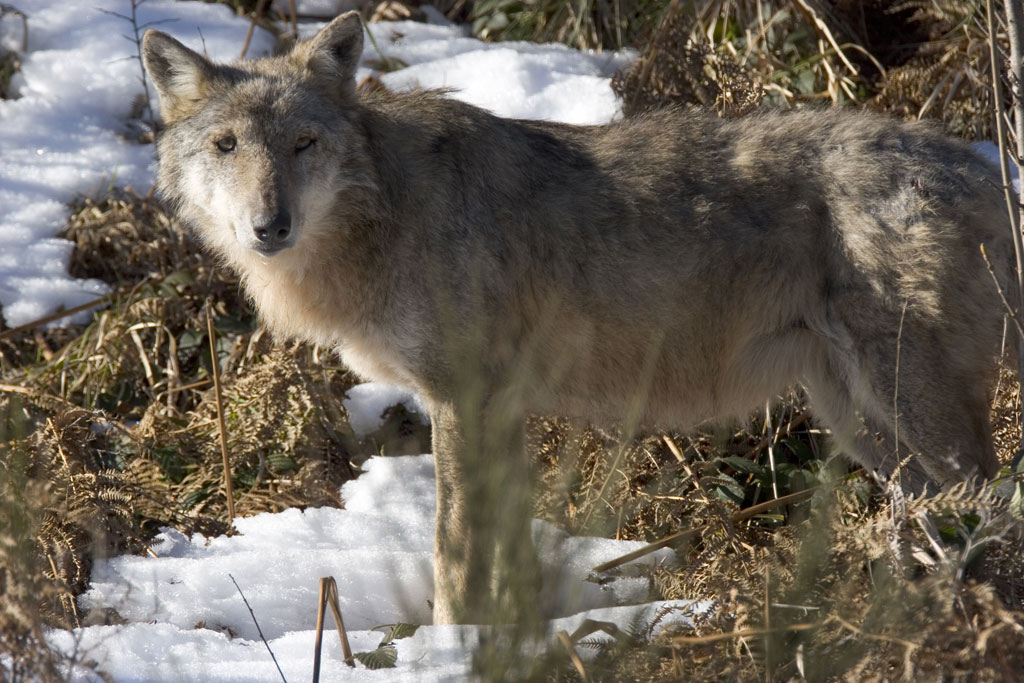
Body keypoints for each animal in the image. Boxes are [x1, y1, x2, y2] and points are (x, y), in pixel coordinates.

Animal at [142, 13, 1013, 624]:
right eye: (226, 145)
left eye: (303, 143)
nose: (270, 225)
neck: (385, 213)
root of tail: (982, 169)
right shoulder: (498, 410)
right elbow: (501, 548)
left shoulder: (461, 401)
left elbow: (455, 550)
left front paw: (451, 642)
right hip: (861, 422)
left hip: (908, 410)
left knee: (993, 502)